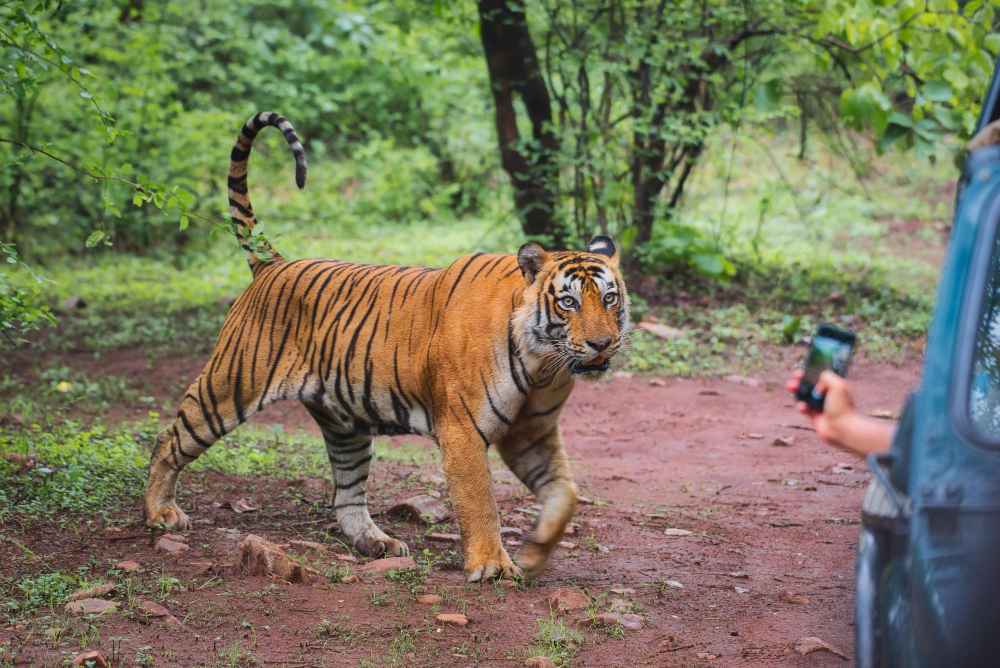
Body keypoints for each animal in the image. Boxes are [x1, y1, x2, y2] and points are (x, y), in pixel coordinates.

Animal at [144, 111, 630, 581]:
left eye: (609, 298)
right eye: (568, 302)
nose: (602, 343)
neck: (542, 364)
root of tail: (273, 264)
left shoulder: (532, 433)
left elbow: (565, 494)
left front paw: (533, 553)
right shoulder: (462, 430)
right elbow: (480, 503)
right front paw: (493, 565)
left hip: (343, 421)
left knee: (347, 495)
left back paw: (376, 543)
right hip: (230, 386)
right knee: (168, 440)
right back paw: (160, 513)